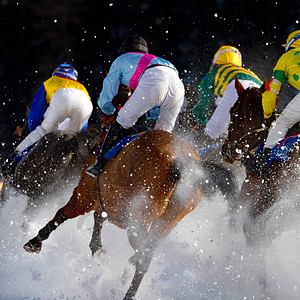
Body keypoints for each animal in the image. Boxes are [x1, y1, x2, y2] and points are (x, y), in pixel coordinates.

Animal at [22, 129, 234, 300]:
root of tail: (181, 162)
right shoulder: (103, 201)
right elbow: (98, 218)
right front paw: (96, 247)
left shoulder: (85, 195)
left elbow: (63, 214)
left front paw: (36, 240)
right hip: (166, 221)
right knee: (146, 255)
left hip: (138, 219)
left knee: (142, 256)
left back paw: (126, 288)